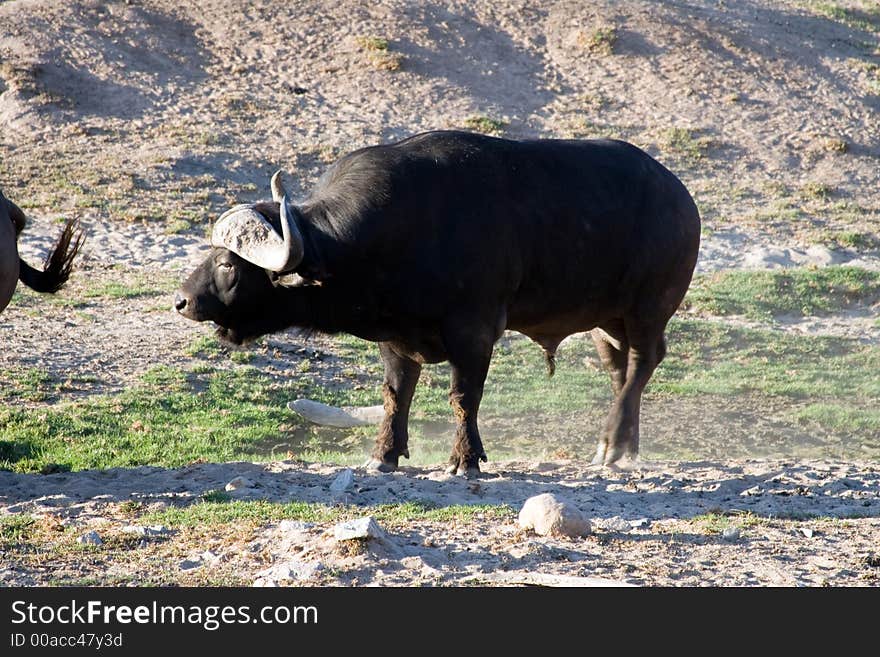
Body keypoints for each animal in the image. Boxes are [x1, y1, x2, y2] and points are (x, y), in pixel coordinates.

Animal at [177, 131, 700, 474]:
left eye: (229, 265)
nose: (183, 301)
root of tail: (681, 199)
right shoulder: (394, 337)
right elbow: (396, 395)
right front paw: (384, 454)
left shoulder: (475, 331)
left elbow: (463, 397)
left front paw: (465, 459)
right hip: (604, 320)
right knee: (619, 370)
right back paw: (620, 446)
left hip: (649, 308)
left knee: (644, 361)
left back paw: (613, 444)